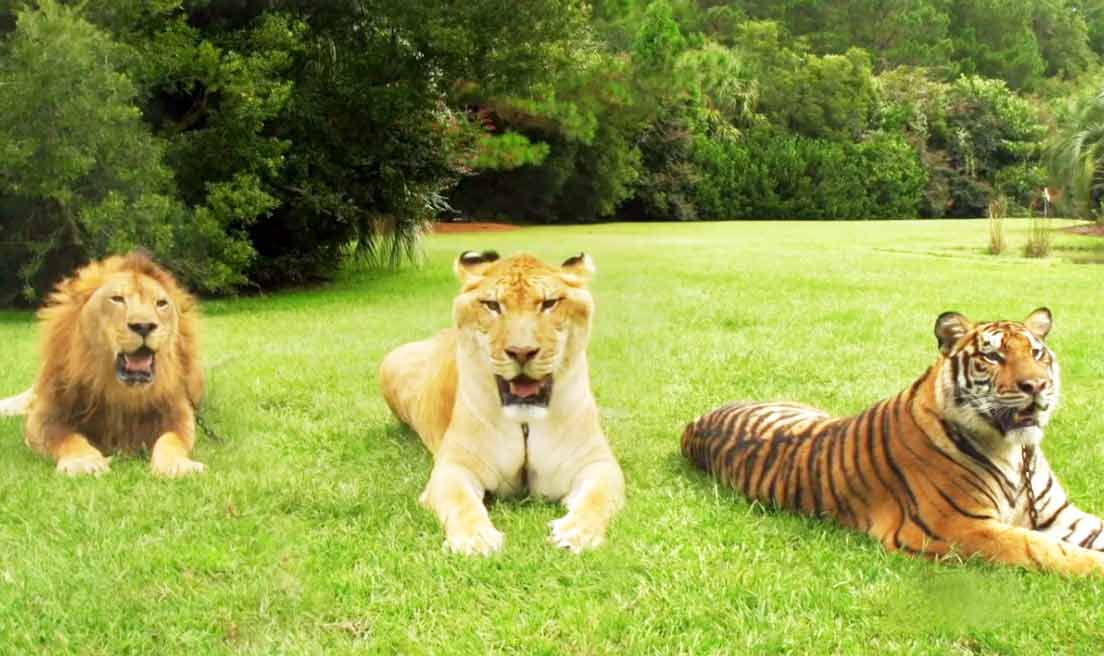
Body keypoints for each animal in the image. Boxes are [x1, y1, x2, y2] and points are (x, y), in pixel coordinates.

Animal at [0, 250, 206, 474]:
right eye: (117, 299)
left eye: (161, 303)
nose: (144, 326)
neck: (120, 391)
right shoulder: (46, 416)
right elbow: (66, 438)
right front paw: (84, 462)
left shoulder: (178, 415)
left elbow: (171, 439)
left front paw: (177, 465)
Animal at [377, 250, 622, 552]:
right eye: (493, 305)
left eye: (549, 303)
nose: (522, 351)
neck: (525, 421)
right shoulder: (453, 467)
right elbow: (461, 501)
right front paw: (475, 539)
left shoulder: (597, 463)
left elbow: (598, 498)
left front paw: (577, 533)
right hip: (389, 363)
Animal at [680, 307, 1104, 574]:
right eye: (994, 357)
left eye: (1037, 353)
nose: (1038, 385)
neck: (1015, 452)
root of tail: (694, 422)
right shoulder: (958, 528)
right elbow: (1041, 549)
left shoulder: (1057, 514)